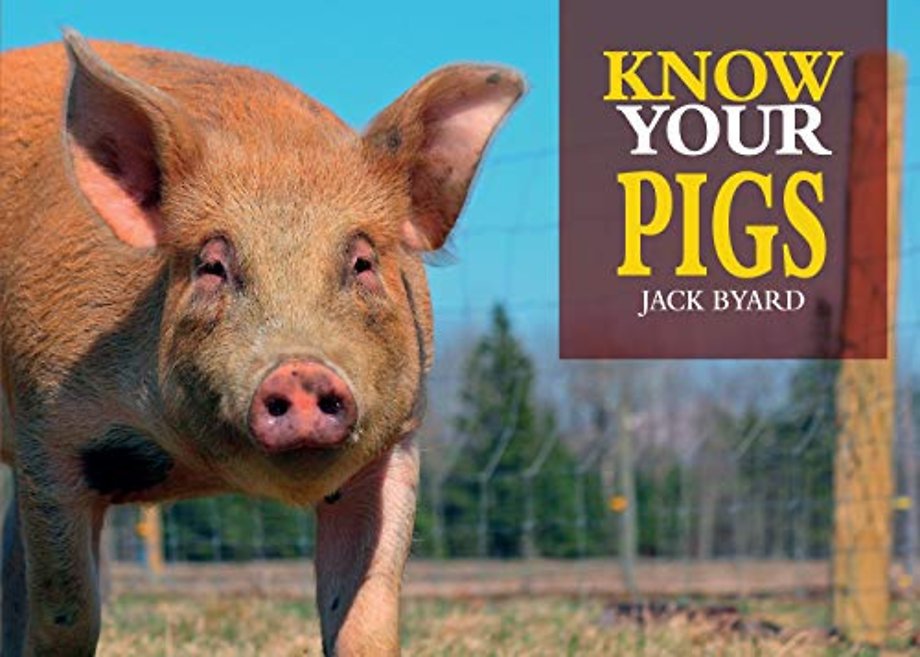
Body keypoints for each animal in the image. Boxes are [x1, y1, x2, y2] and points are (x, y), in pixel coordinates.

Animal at [0, 29, 523, 656]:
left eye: (363, 262)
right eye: (212, 266)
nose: (299, 371)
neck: (200, 470)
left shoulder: (399, 442)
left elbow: (367, 617)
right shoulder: (46, 429)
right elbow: (68, 614)